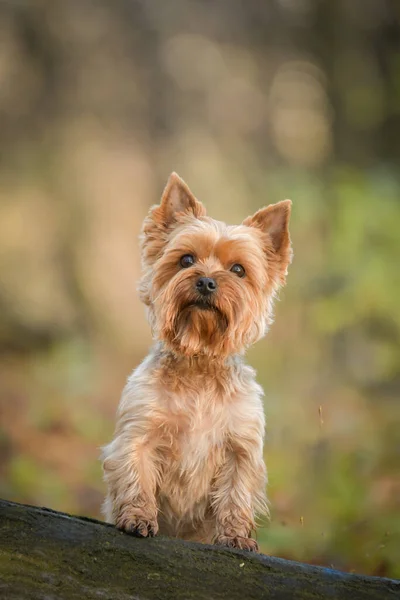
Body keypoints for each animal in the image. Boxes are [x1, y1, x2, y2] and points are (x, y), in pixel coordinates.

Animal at [101, 171, 292, 552]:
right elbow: (135, 473)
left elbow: (235, 492)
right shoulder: (140, 431)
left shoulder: (240, 447)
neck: (199, 360)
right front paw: (138, 518)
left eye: (239, 269)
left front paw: (235, 536)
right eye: (186, 260)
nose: (206, 281)